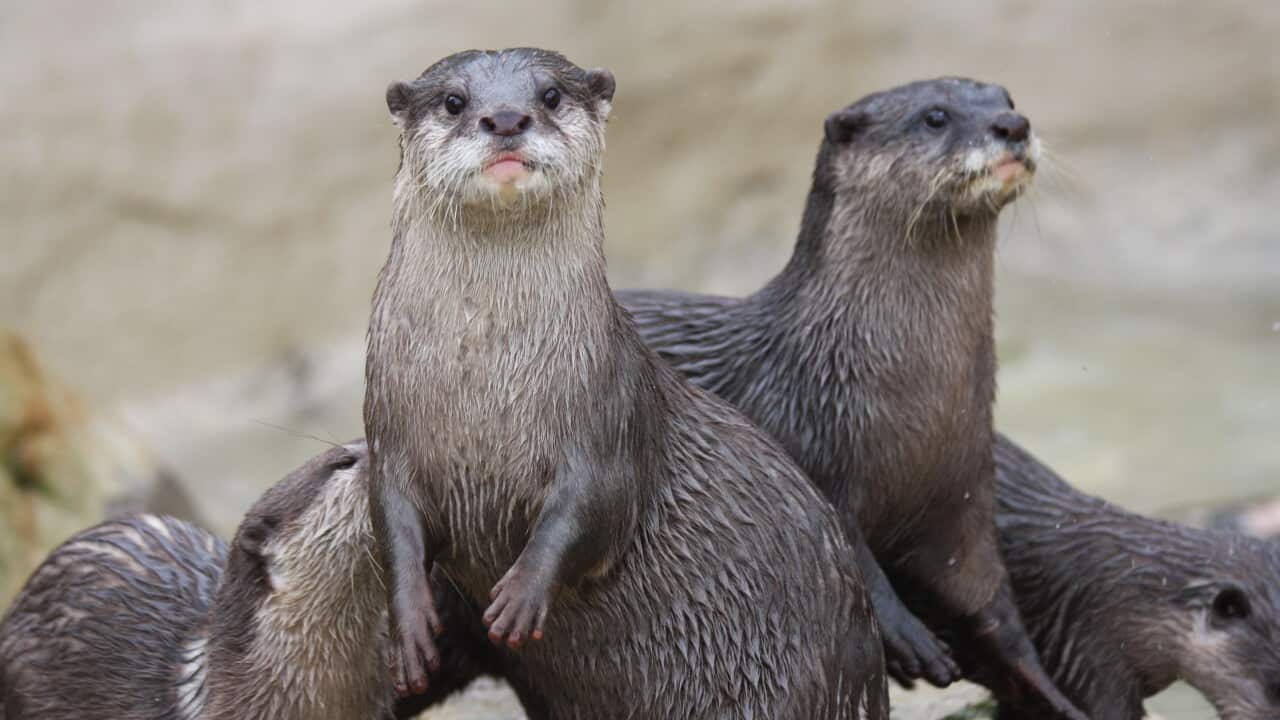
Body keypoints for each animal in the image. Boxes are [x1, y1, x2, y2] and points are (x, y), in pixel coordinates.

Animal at [364, 48, 887, 719]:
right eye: (454, 101)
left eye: (552, 94)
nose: (505, 118)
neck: (486, 377)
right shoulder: (390, 432)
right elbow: (392, 525)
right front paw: (409, 629)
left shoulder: (609, 413)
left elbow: (596, 505)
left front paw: (520, 596)